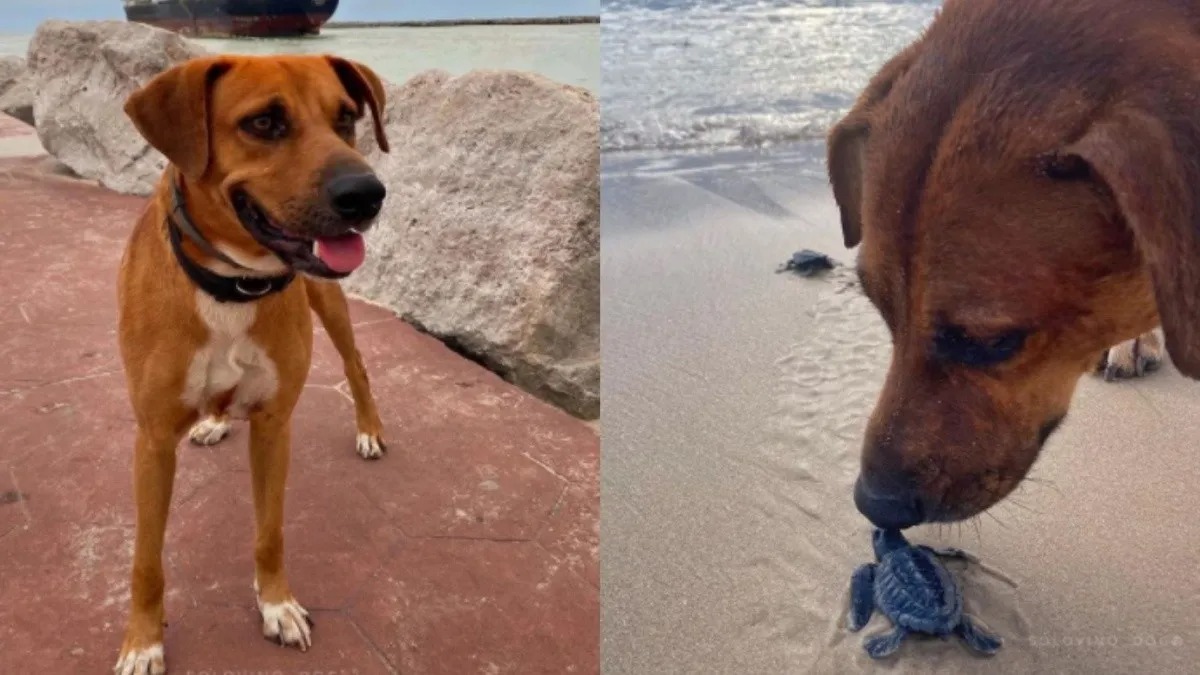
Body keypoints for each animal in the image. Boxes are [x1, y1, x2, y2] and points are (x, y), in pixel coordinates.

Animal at [115, 55, 388, 667]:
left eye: (347, 118)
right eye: (264, 123)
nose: (367, 194)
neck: (232, 286)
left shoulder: (273, 425)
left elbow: (270, 533)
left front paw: (277, 605)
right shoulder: (151, 441)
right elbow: (146, 559)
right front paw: (143, 641)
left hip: (329, 304)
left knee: (356, 366)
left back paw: (369, 429)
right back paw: (214, 420)